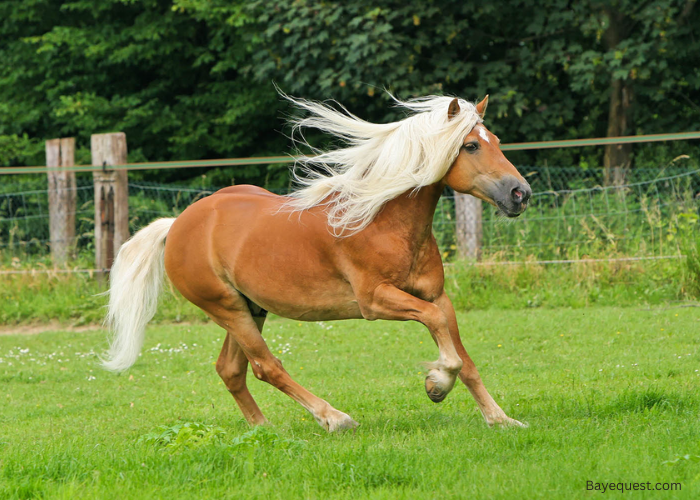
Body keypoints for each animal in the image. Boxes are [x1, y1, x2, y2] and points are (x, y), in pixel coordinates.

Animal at [102, 93, 532, 432]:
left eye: (496, 141)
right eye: (471, 146)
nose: (520, 193)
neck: (381, 219)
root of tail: (176, 225)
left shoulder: (437, 295)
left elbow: (463, 354)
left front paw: (500, 418)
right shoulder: (376, 301)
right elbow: (441, 334)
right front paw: (436, 383)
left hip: (249, 307)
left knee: (231, 369)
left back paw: (264, 429)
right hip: (226, 308)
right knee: (265, 366)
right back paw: (334, 418)